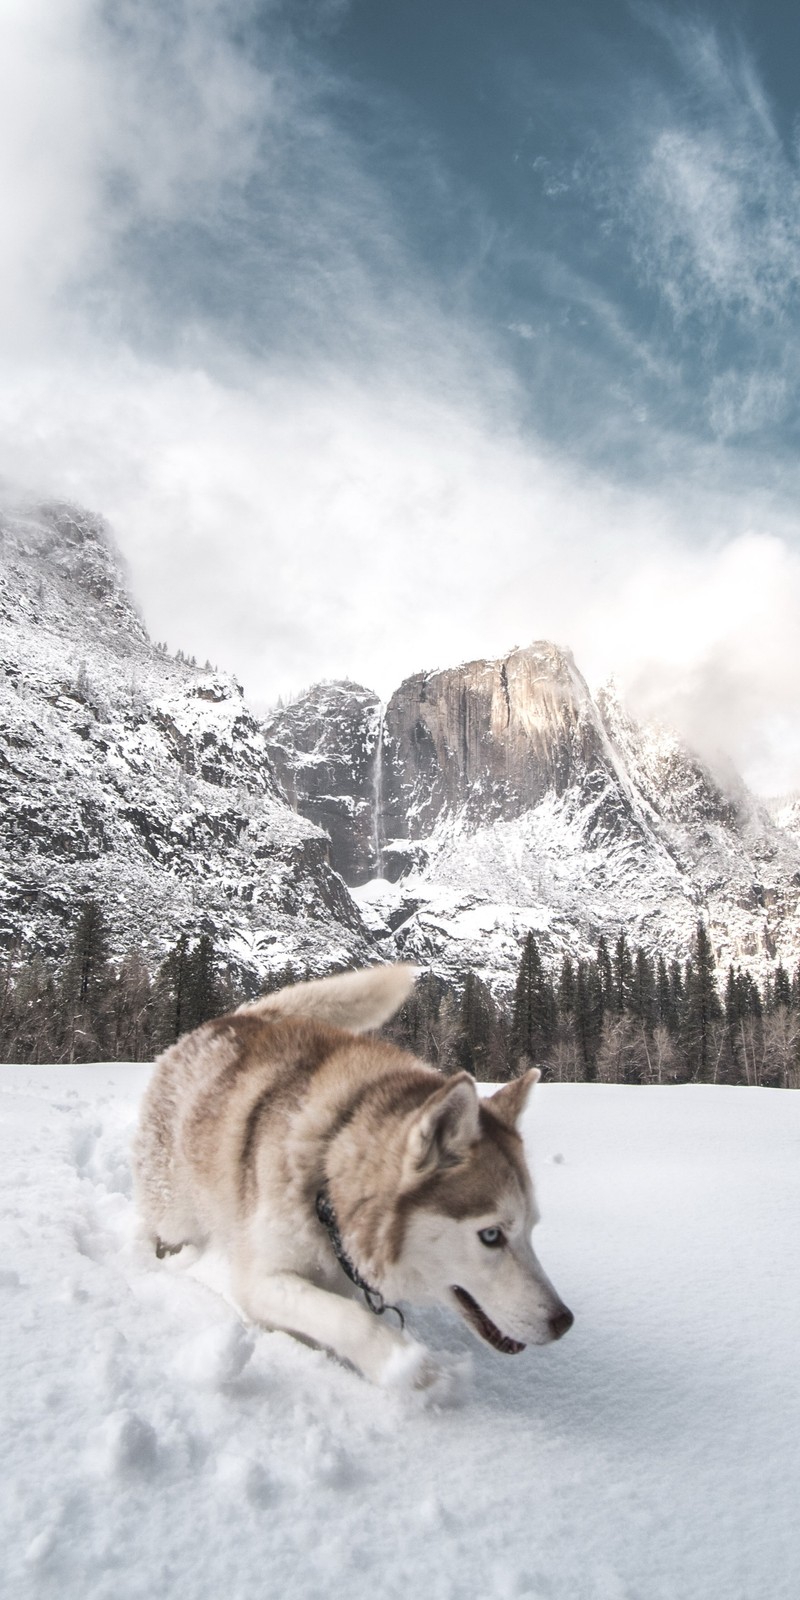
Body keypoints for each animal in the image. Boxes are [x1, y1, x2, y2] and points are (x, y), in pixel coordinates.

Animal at [136, 960, 576, 1388]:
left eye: (531, 1228)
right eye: (491, 1236)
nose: (564, 1321)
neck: (327, 1170)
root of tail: (233, 1018)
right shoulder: (260, 1278)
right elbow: (352, 1321)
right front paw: (410, 1369)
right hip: (176, 1213)